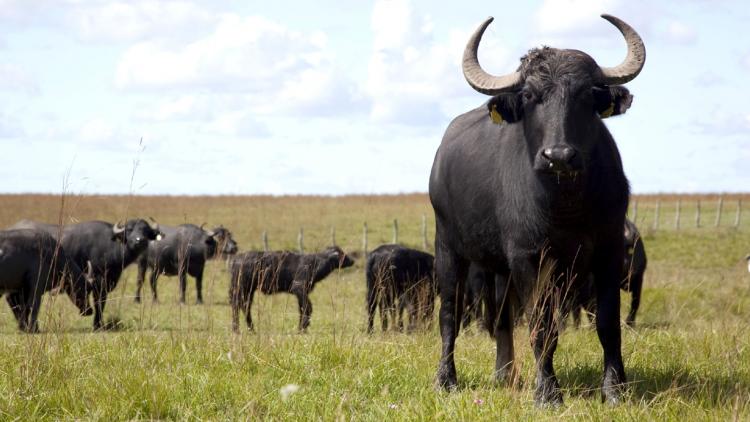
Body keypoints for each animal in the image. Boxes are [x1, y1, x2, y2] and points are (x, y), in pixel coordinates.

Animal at [11, 219, 162, 332]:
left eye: (146, 231)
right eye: (129, 229)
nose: (139, 240)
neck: (110, 246)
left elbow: (101, 303)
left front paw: (99, 323)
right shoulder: (98, 282)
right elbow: (99, 303)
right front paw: (98, 325)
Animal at [428, 14, 648, 406]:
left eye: (586, 95)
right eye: (530, 96)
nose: (558, 156)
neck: (566, 204)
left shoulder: (608, 250)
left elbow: (608, 322)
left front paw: (615, 389)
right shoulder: (529, 257)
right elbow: (542, 326)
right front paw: (547, 392)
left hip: (500, 267)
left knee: (500, 316)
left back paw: (505, 374)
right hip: (449, 248)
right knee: (450, 313)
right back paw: (446, 380)